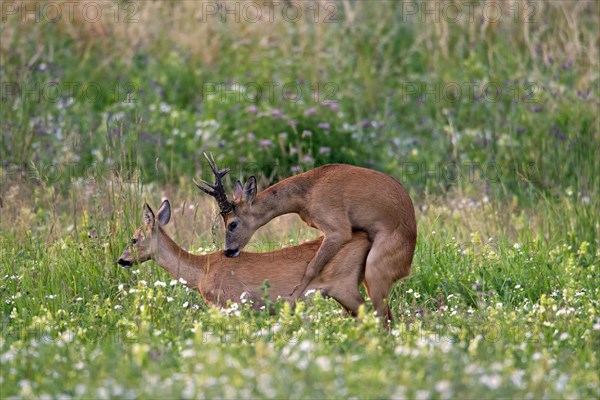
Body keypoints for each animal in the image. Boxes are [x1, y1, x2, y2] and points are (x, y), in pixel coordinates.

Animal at [197, 155, 418, 324]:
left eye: (232, 223)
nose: (229, 251)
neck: (309, 190)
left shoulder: (338, 231)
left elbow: (311, 268)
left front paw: (289, 302)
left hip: (375, 272)